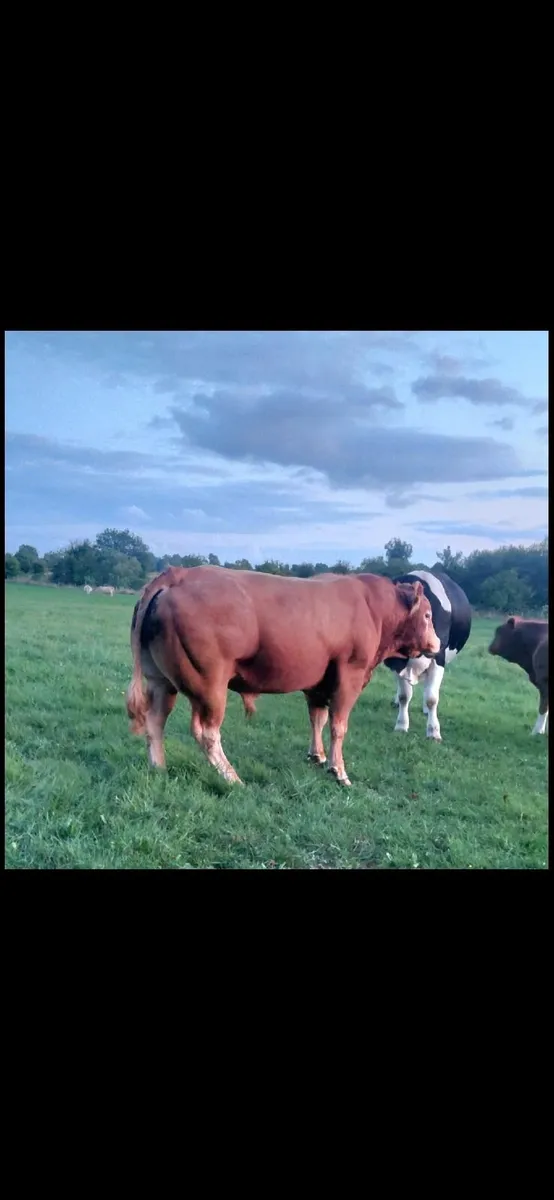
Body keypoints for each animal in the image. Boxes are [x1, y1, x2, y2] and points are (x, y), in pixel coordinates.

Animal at [126, 565, 440, 787]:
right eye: (427, 615)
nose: (437, 643)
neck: (372, 608)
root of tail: (178, 574)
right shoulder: (350, 674)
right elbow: (338, 725)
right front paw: (339, 771)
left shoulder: (318, 682)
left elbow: (317, 718)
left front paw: (317, 756)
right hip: (209, 683)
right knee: (206, 732)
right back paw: (232, 778)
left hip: (161, 681)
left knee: (155, 721)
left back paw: (159, 768)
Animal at [385, 569, 472, 741]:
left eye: (426, 615)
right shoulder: (398, 663)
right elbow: (404, 695)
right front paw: (401, 725)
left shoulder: (438, 660)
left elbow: (432, 698)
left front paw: (433, 731)